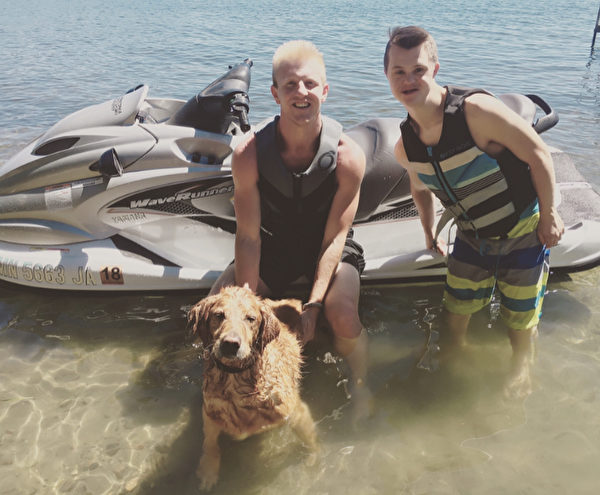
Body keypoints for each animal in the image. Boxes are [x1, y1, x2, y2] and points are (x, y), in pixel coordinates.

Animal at [187, 285, 318, 491]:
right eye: (219, 315)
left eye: (250, 318)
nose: (230, 344)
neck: (235, 379)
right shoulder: (210, 413)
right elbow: (210, 444)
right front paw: (208, 470)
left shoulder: (295, 411)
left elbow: (310, 439)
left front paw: (314, 459)